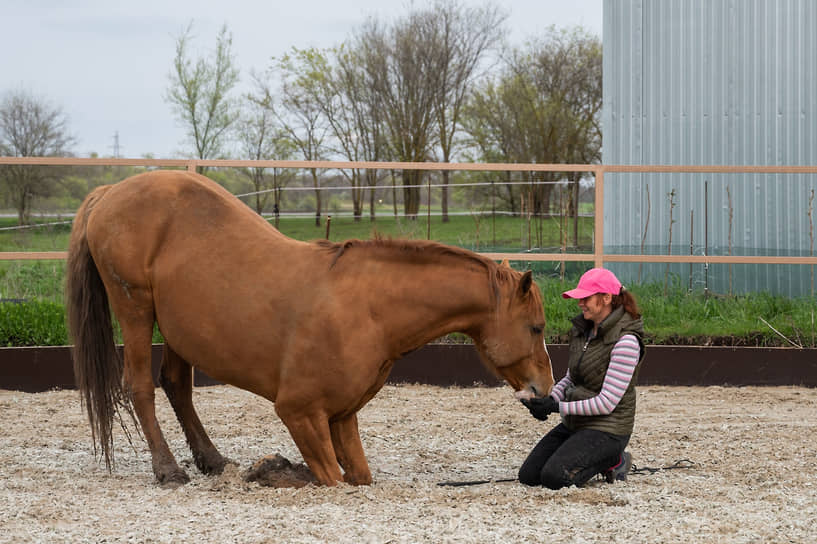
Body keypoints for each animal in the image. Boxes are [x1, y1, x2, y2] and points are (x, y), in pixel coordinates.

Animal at [65, 169, 556, 484]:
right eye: (536, 328)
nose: (546, 390)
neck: (369, 309)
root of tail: (111, 191)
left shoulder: (342, 417)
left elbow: (360, 476)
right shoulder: (299, 413)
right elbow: (331, 478)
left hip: (177, 328)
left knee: (176, 386)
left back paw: (211, 460)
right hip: (135, 309)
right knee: (140, 386)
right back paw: (167, 469)